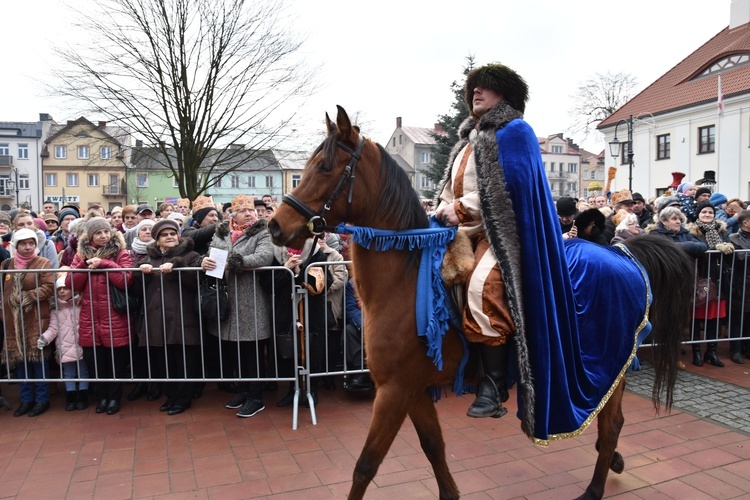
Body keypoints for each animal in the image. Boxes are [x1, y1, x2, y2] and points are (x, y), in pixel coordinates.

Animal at [268, 106, 696, 500]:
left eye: (325, 167)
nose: (275, 225)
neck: (404, 278)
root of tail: (622, 251)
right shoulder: (413, 389)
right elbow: (433, 448)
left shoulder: (393, 390)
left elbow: (365, 466)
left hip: (613, 367)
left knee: (610, 427)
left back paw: (593, 489)